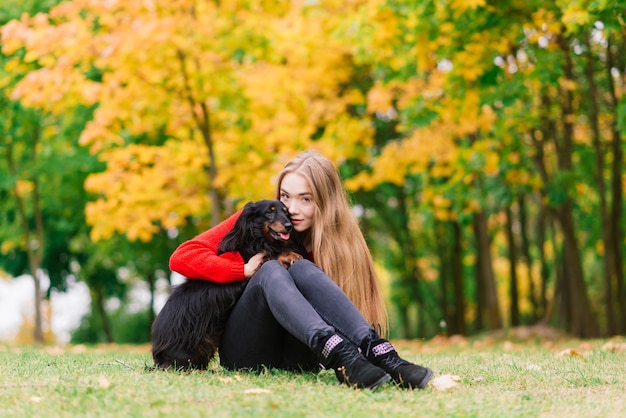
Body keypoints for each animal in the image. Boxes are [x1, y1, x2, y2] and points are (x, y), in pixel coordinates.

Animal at [149, 201, 304, 370]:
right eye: (269, 213)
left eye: (286, 212)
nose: (289, 226)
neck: (258, 240)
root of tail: (159, 358)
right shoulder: (256, 264)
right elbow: (273, 256)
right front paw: (291, 255)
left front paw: (291, 253)